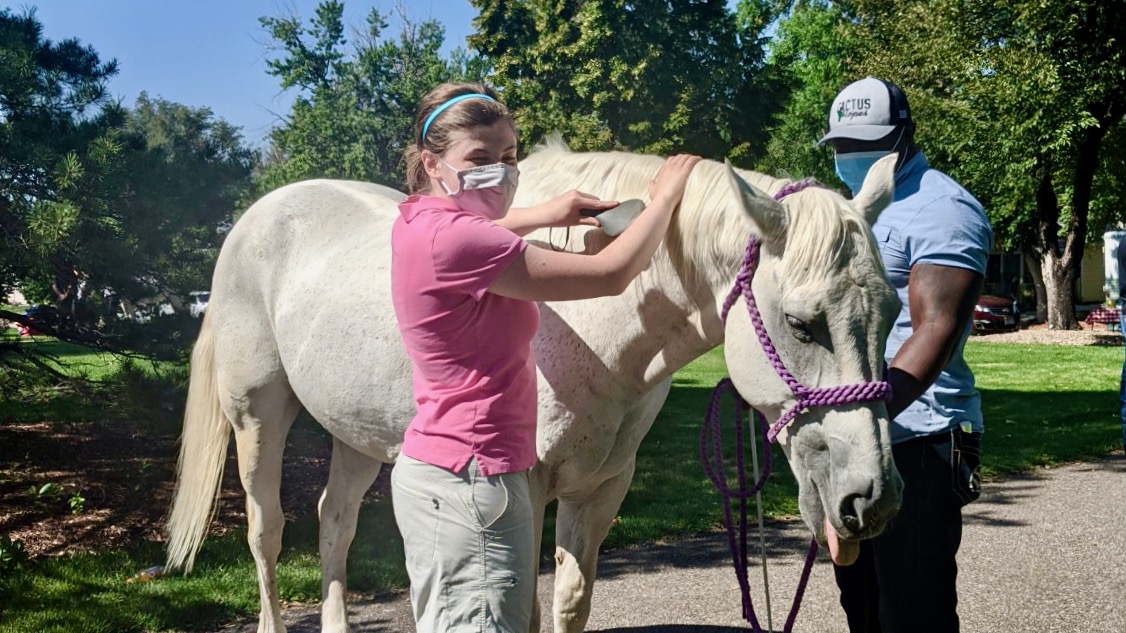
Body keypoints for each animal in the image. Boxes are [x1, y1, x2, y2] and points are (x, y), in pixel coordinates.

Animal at [163, 143, 900, 630]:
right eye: (802, 324)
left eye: (893, 311)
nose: (873, 499)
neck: (592, 323)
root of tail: (254, 219)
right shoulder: (521, 494)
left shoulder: (600, 489)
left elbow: (570, 603)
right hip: (258, 418)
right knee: (267, 533)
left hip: (359, 436)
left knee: (333, 524)